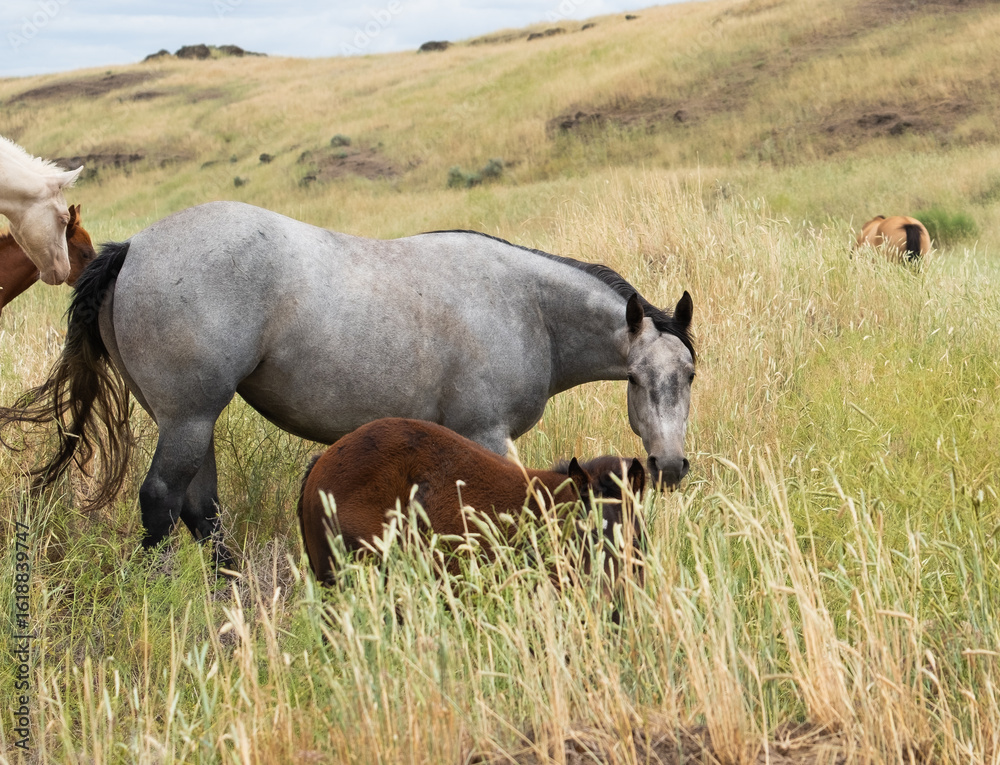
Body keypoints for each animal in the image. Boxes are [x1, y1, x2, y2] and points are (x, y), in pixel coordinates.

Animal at [0, 201, 694, 568]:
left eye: (688, 376)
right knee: (161, 503)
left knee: (201, 509)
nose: (671, 466)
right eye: (646, 380)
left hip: (192, 422)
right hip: (188, 420)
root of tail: (135, 248)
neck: (527, 305)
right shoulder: (486, 435)